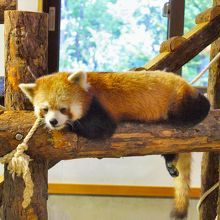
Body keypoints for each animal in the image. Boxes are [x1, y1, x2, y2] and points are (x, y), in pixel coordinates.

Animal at [18, 70, 210, 218]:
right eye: (45, 109)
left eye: (63, 109)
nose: (53, 121)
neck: (88, 91)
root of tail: (185, 83)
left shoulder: (100, 107)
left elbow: (101, 128)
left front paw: (70, 125)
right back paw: (170, 161)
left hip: (179, 98)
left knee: (198, 107)